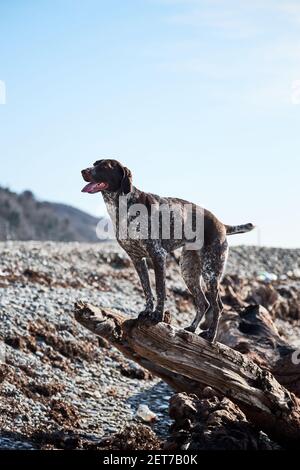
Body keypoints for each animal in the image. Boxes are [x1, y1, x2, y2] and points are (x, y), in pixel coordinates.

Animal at [81, 160, 254, 344]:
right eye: (94, 164)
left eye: (104, 166)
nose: (83, 171)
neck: (122, 207)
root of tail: (221, 224)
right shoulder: (137, 259)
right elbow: (147, 289)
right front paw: (147, 311)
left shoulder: (158, 255)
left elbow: (160, 290)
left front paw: (157, 316)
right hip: (188, 271)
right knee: (203, 303)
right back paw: (192, 328)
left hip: (211, 273)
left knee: (218, 306)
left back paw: (211, 336)